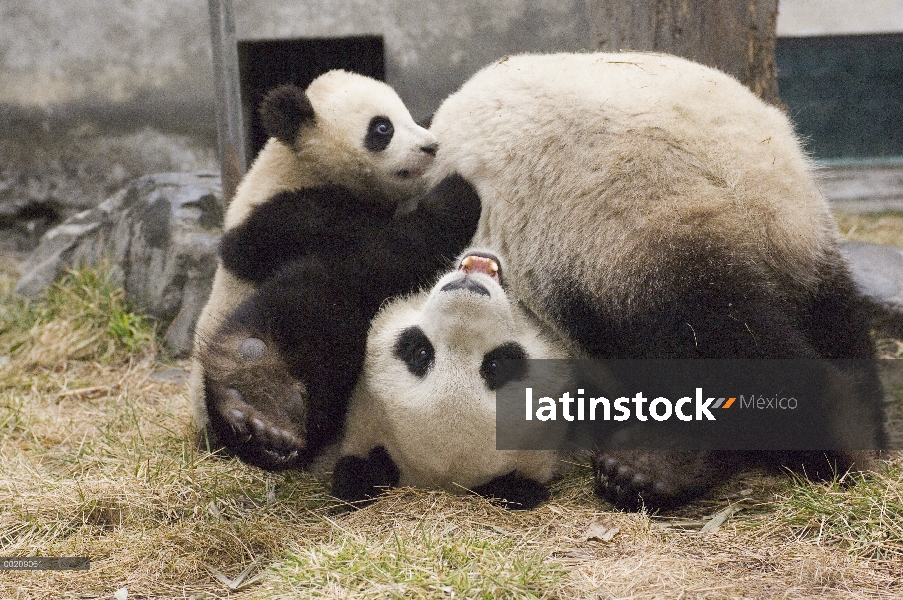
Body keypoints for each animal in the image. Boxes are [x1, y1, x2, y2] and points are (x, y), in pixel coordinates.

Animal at [192, 70, 484, 468]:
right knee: (316, 294)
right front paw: (456, 196)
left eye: (410, 116)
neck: (301, 168)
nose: (430, 147)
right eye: (382, 128)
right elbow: (383, 250)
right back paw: (260, 396)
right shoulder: (284, 220)